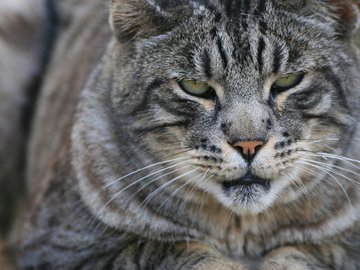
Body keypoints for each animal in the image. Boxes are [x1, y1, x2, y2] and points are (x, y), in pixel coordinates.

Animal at [2, 0, 360, 268]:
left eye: (288, 80)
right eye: (195, 86)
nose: (249, 144)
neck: (240, 232)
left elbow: (306, 253)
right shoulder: (59, 242)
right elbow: (171, 249)